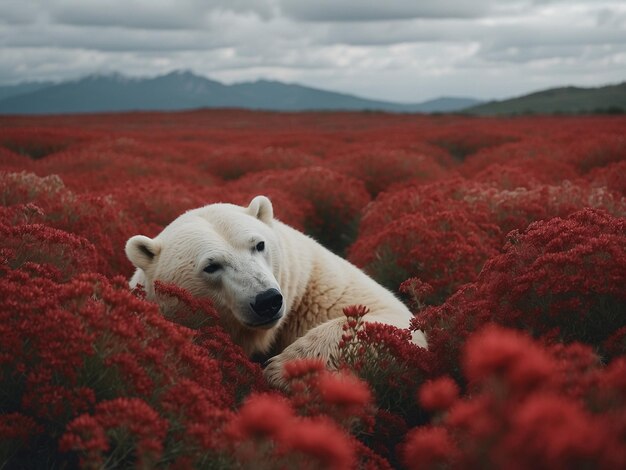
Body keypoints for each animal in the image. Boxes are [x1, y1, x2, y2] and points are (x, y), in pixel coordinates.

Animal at [124, 195, 426, 386]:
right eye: (211, 266)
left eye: (259, 245)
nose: (267, 300)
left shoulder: (311, 286)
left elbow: (392, 320)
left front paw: (286, 368)